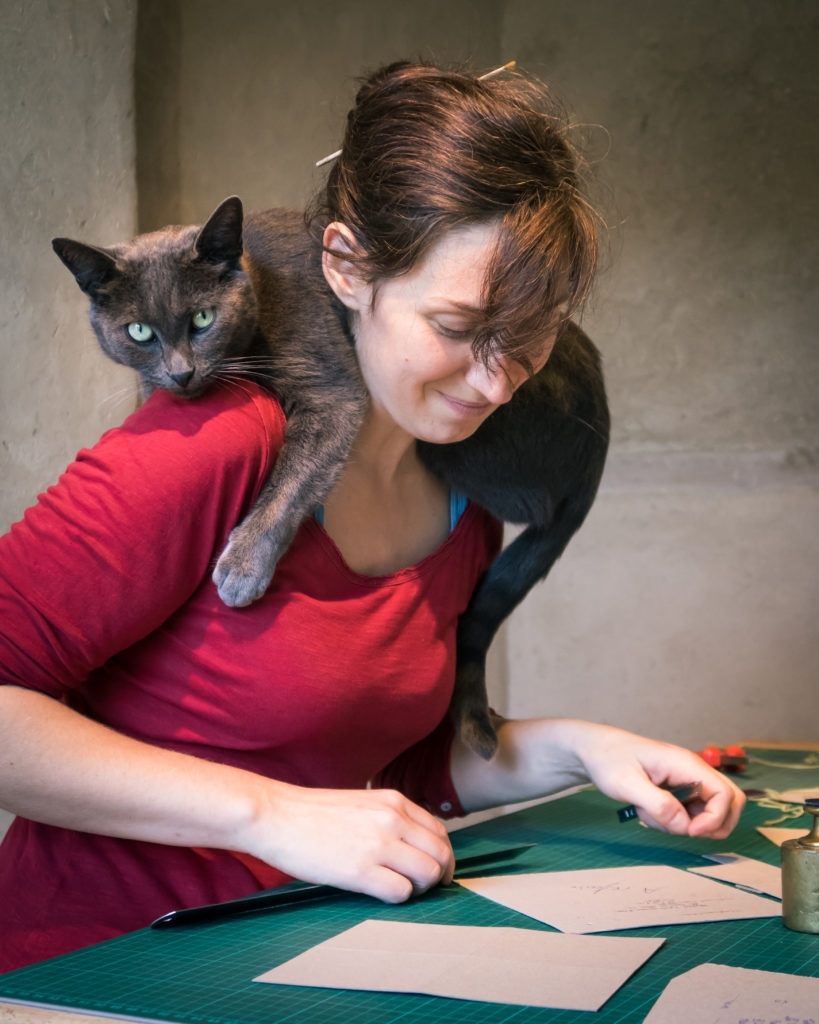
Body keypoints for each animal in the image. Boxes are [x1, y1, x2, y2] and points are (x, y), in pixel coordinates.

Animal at [52, 195, 606, 757]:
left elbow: (290, 482)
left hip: (457, 443)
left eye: (203, 318)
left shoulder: (332, 391)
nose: (181, 372)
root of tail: (602, 436)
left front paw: (242, 570)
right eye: (138, 332)